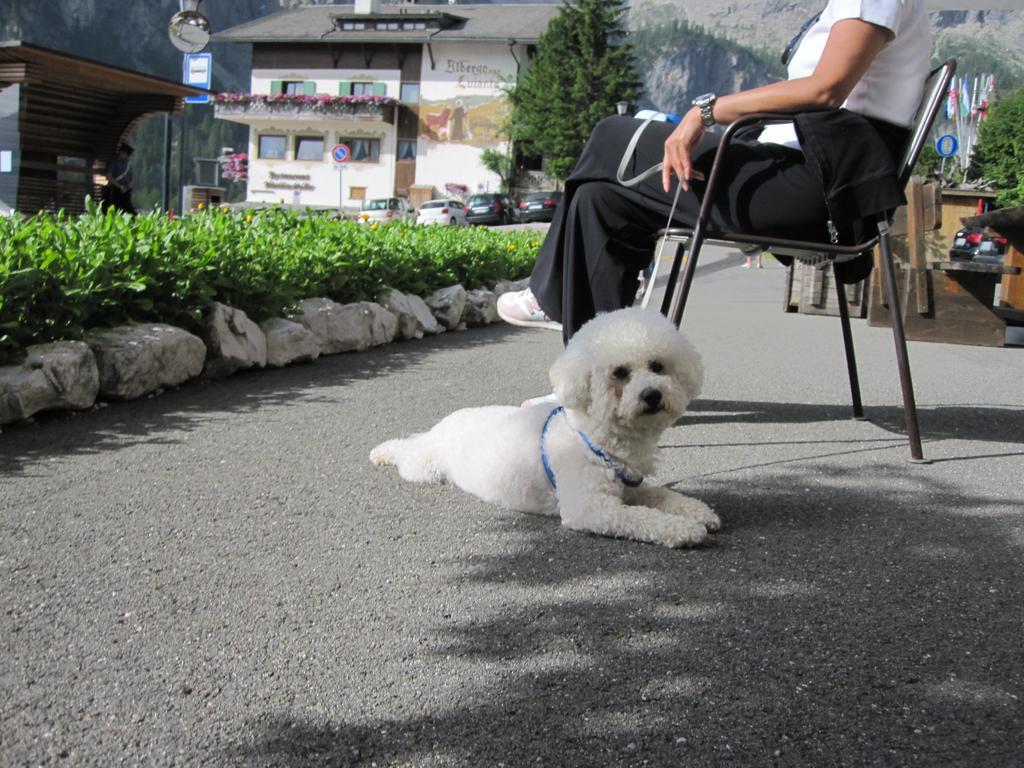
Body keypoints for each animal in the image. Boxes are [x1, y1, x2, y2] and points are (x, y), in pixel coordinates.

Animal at [370, 307, 720, 548]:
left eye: (658, 366)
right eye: (620, 372)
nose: (652, 395)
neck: (594, 435)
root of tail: (447, 422)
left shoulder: (632, 487)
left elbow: (663, 494)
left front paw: (698, 511)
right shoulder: (590, 507)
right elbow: (642, 517)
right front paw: (684, 529)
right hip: (424, 467)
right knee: (406, 451)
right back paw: (383, 452)